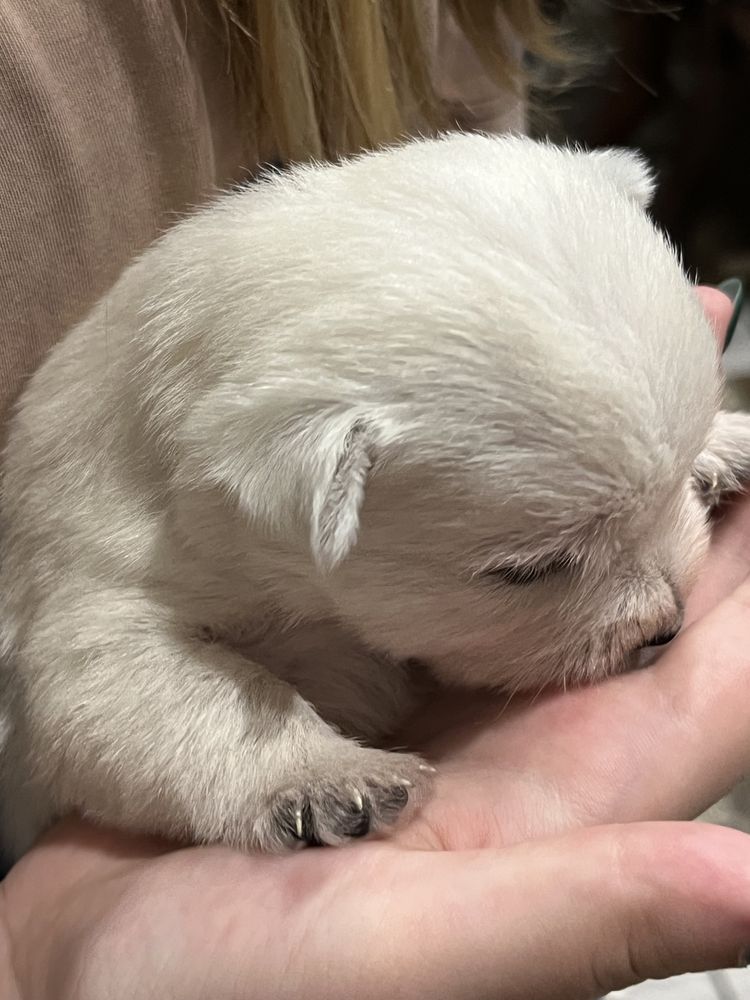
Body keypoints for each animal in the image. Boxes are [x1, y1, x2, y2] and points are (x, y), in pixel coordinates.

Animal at [1, 129, 750, 856]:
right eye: (528, 571)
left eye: (678, 476)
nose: (667, 624)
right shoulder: (101, 591)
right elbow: (178, 688)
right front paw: (327, 777)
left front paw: (724, 444)